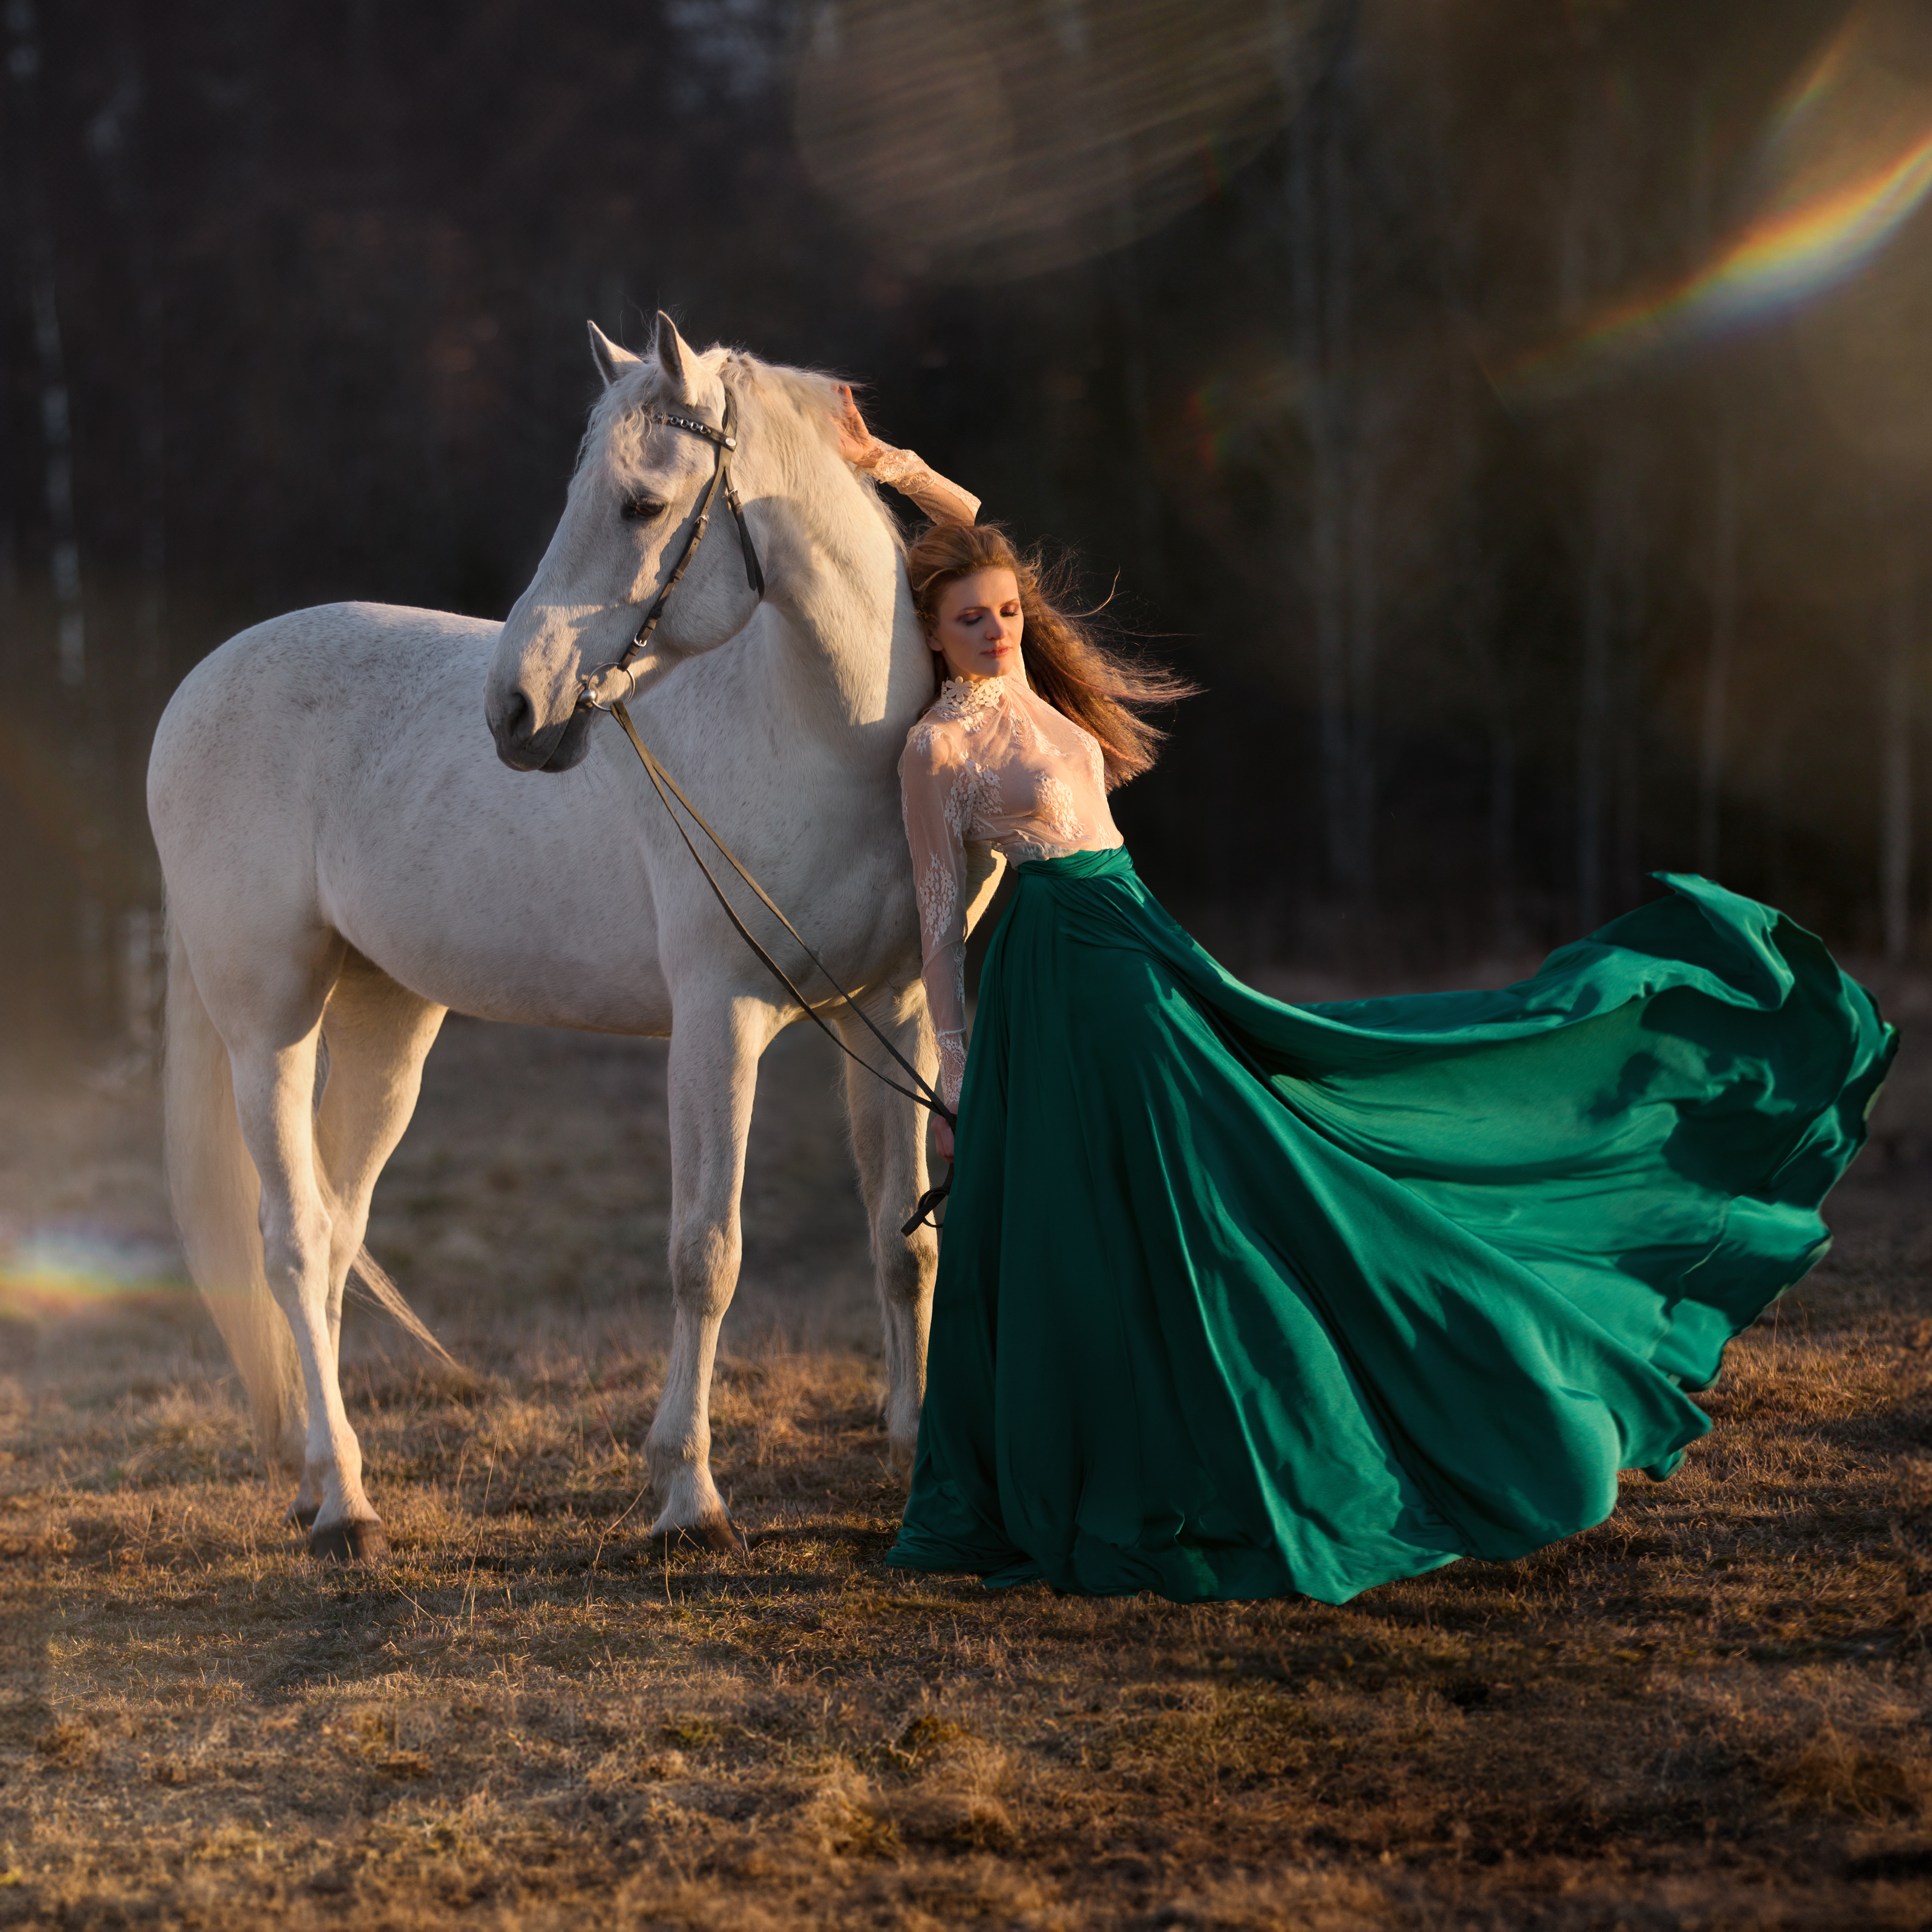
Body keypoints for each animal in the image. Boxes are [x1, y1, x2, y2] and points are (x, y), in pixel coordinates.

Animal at [151, 313, 997, 1553]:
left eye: (641, 505)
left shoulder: (889, 1012)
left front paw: (913, 1440)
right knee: (294, 1239)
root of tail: (198, 687)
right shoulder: (720, 1020)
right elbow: (706, 1254)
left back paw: (317, 1473)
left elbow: (905, 1239)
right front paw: (688, 1496)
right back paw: (347, 1505)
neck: (822, 731)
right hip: (270, 1029)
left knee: (340, 1235)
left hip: (387, 1024)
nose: (515, 712)